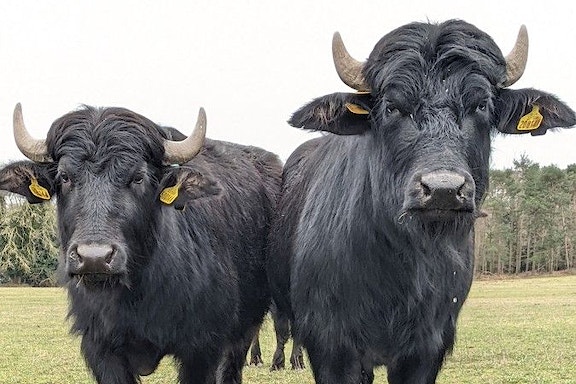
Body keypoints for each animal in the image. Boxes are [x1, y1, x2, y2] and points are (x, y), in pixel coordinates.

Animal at [0, 104, 282, 384]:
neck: (137, 295)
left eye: (138, 177)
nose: (94, 258)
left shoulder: (203, 348)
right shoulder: (101, 349)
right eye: (64, 177)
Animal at [268, 20, 576, 384]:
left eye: (481, 106)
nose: (443, 189)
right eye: (392, 107)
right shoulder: (330, 345)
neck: (398, 268)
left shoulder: (428, 347)